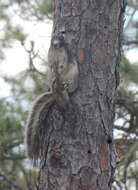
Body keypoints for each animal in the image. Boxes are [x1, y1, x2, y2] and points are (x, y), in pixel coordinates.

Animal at [24, 33, 78, 163]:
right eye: (53, 37)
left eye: (61, 36)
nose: (56, 43)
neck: (57, 50)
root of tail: (55, 93)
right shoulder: (50, 56)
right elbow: (51, 64)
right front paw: (54, 69)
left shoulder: (64, 56)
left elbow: (64, 63)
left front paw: (60, 68)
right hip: (49, 77)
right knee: (52, 78)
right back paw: (54, 84)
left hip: (73, 74)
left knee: (69, 84)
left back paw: (66, 84)